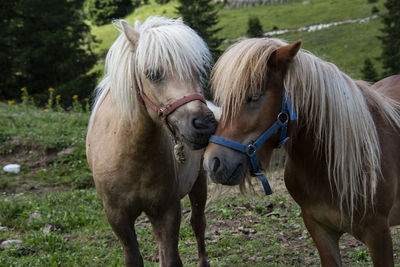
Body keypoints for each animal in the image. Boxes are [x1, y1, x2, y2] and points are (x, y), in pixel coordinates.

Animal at [86, 17, 217, 267]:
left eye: (196, 71)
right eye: (153, 74)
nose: (204, 125)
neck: (131, 154)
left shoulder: (166, 211)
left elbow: (171, 259)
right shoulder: (118, 217)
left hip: (198, 182)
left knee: (198, 224)